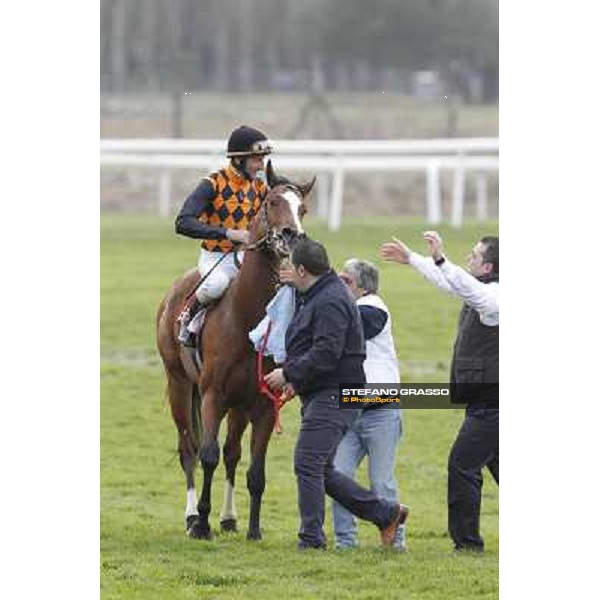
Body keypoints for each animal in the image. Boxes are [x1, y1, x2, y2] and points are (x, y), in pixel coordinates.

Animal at [155, 162, 316, 540]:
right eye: (272, 202)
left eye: (302, 208)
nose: (291, 236)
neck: (245, 317)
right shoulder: (212, 394)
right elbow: (208, 455)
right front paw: (201, 524)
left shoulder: (263, 403)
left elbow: (253, 470)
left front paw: (253, 529)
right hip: (180, 383)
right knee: (189, 449)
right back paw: (190, 517)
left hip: (238, 405)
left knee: (232, 453)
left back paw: (229, 518)